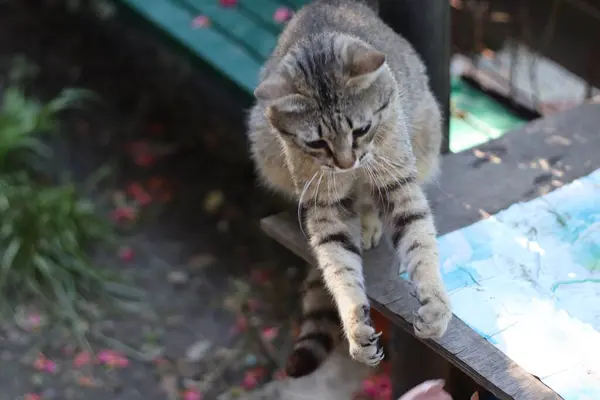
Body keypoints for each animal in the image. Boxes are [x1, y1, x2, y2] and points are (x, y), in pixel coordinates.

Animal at [247, 0, 450, 376]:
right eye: (316, 143)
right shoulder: (325, 206)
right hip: (266, 150)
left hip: (427, 136)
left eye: (361, 129)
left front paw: (434, 302)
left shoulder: (398, 182)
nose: (345, 163)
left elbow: (420, 241)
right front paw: (356, 325)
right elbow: (339, 266)